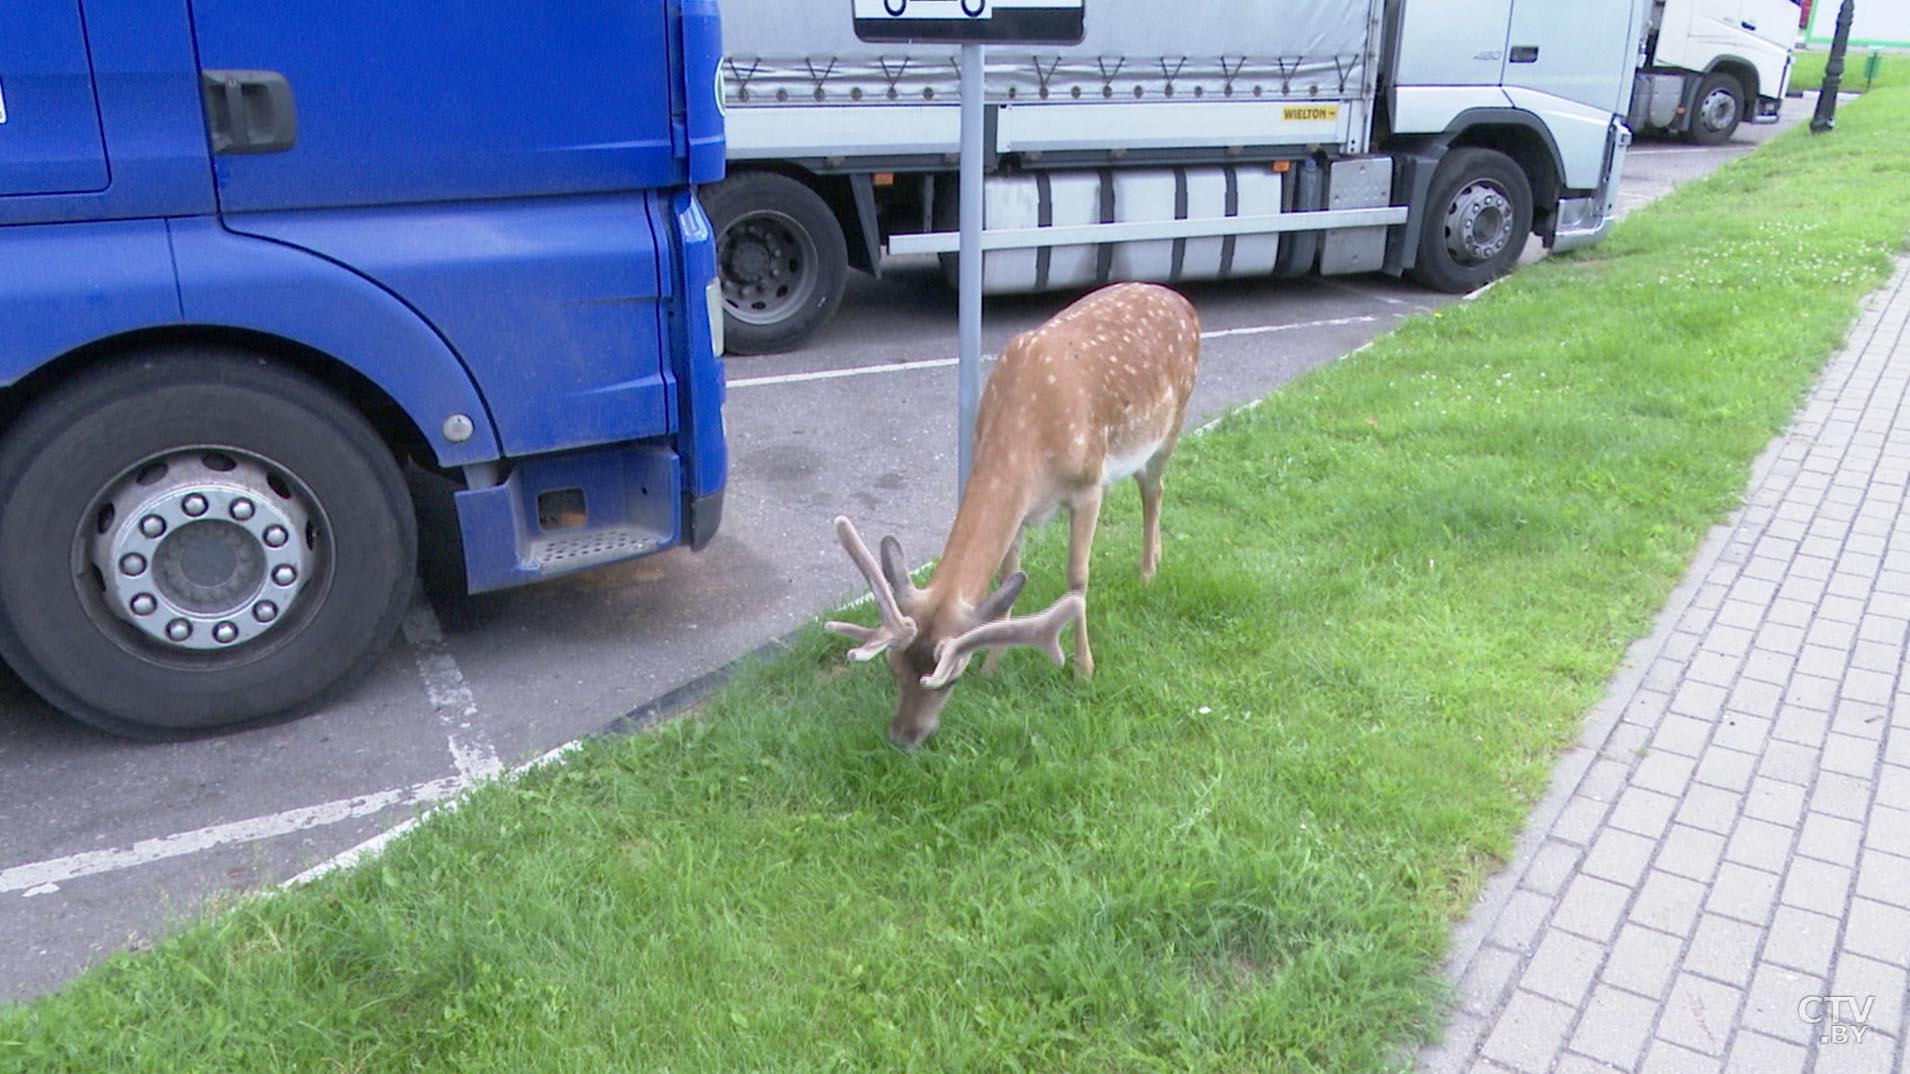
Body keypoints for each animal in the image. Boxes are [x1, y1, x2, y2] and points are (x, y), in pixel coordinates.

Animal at [828, 277, 1199, 745]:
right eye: (893, 668)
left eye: (949, 679)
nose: (902, 737)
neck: (1026, 435)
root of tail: (1181, 300)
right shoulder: (1021, 511)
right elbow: (1008, 578)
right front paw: (993, 667)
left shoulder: (1087, 487)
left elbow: (1077, 579)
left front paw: (1083, 667)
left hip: (1173, 420)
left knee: (1154, 488)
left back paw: (1149, 570)